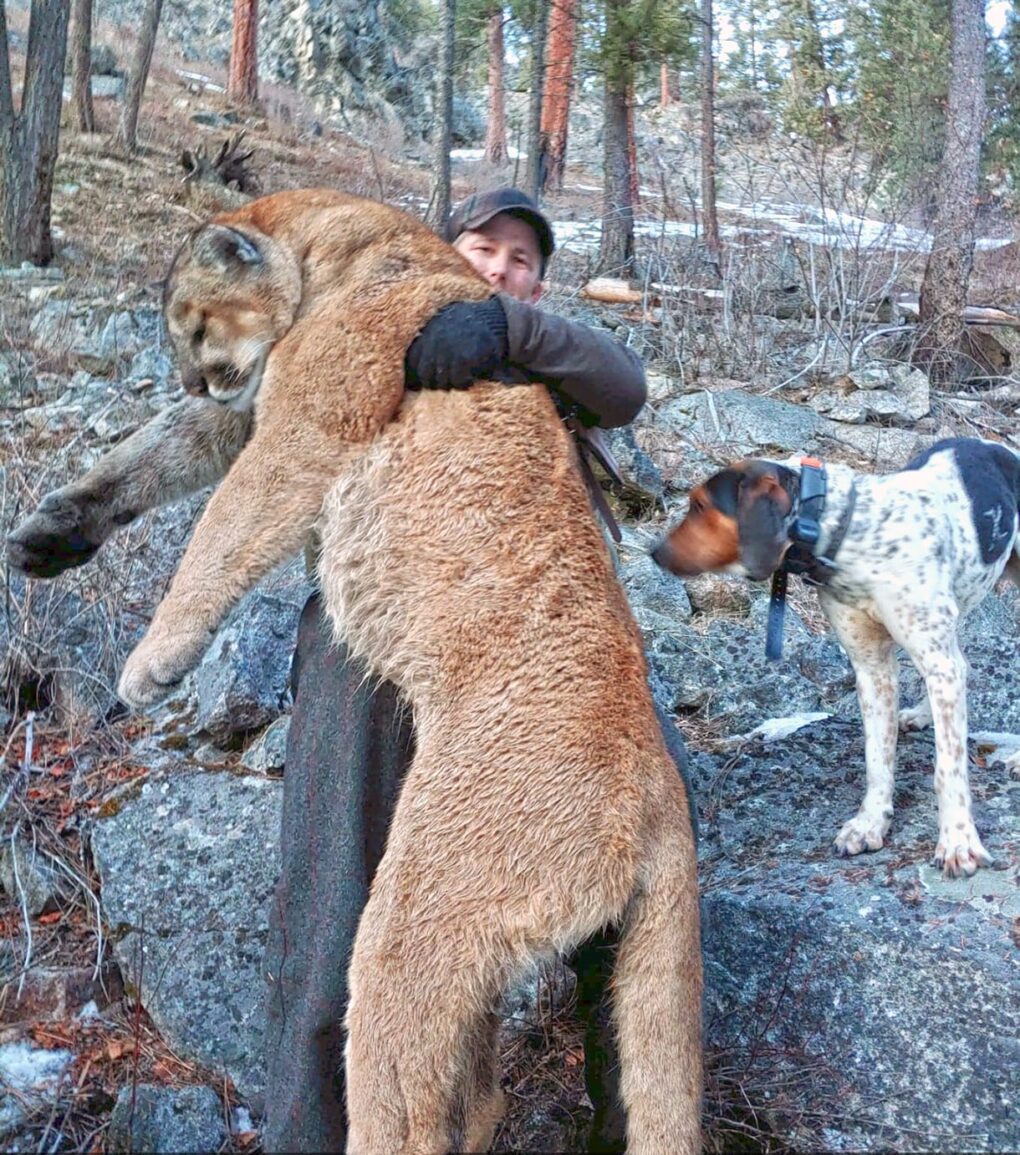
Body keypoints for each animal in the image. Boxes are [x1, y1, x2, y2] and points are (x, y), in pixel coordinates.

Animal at [7, 189, 706, 1155]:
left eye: (193, 324)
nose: (193, 379)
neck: (335, 248)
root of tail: (656, 788)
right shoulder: (253, 404)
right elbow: (153, 451)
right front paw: (52, 532)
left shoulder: (305, 416)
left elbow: (221, 526)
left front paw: (153, 659)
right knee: (479, 1094)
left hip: (422, 910)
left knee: (403, 1086)